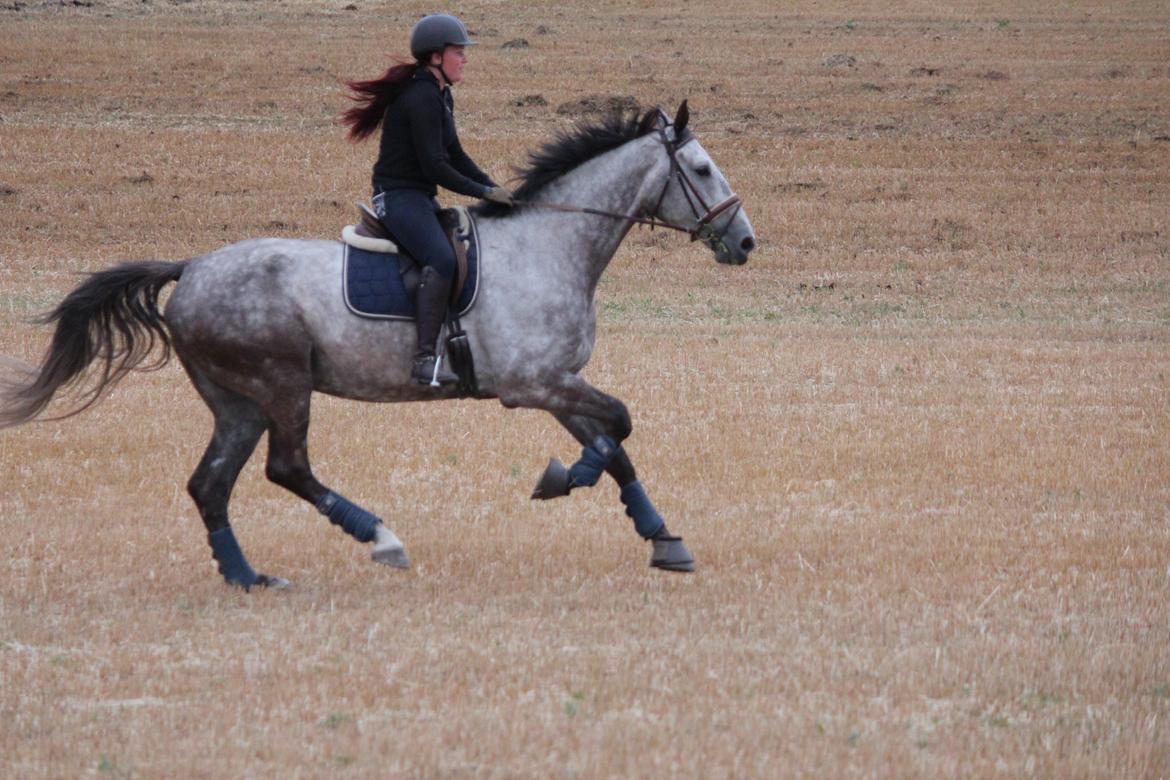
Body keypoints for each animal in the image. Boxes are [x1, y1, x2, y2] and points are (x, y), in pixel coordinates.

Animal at [0, 100, 758, 589]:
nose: (745, 242)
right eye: (701, 168)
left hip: (238, 403)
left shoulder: (558, 383)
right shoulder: (531, 384)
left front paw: (664, 538)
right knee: (288, 469)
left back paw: (246, 576)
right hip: (282, 384)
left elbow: (616, 445)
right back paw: (381, 539)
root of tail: (191, 270)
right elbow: (618, 425)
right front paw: (558, 480)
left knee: (211, 484)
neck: (552, 244)